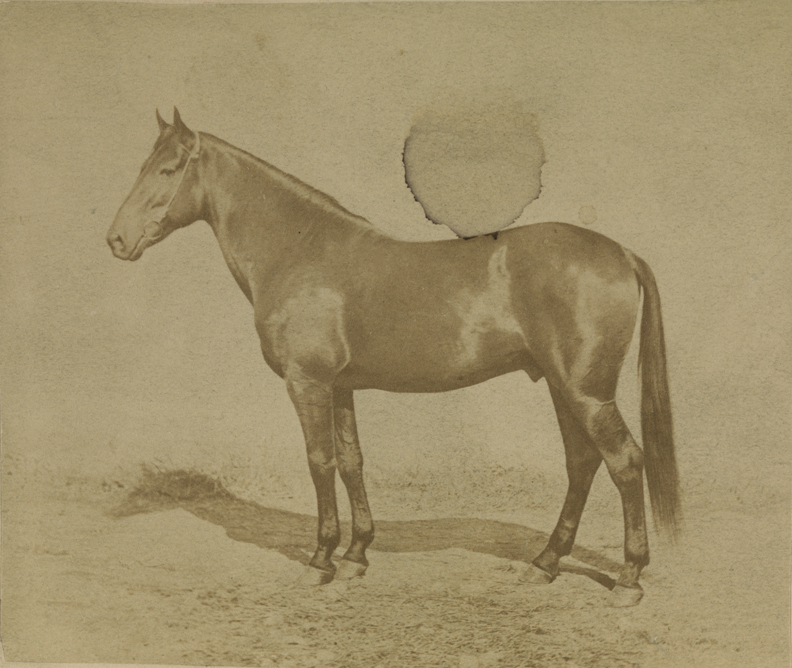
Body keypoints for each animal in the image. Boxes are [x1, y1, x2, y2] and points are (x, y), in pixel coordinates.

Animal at [107, 108, 680, 607]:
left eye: (167, 169)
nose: (116, 239)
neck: (300, 252)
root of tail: (621, 254)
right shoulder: (340, 386)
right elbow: (352, 462)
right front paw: (356, 556)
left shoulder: (307, 383)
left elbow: (320, 462)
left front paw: (320, 560)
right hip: (564, 388)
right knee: (582, 464)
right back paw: (544, 563)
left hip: (586, 392)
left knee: (624, 462)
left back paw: (628, 579)